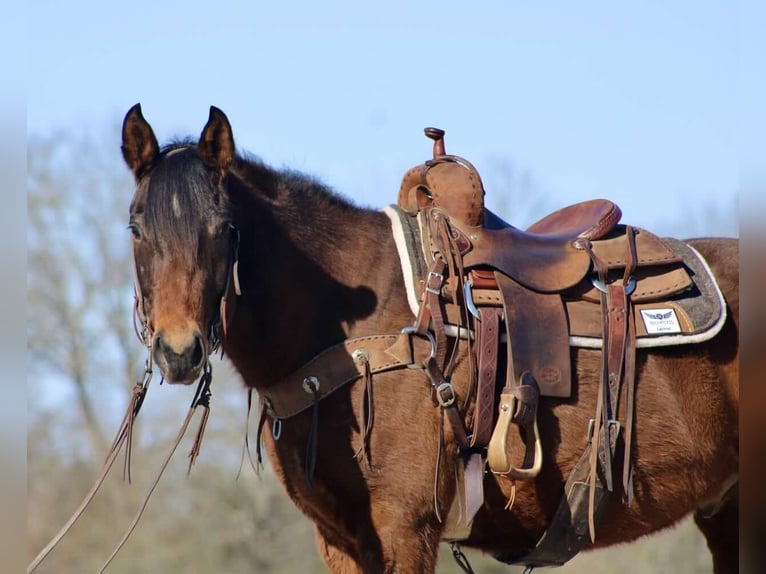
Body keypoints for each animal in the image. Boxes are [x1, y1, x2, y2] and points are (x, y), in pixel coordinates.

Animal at [120, 104, 739, 573]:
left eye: (224, 229)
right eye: (135, 227)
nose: (178, 351)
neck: (352, 332)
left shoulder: (404, 527)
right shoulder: (342, 540)